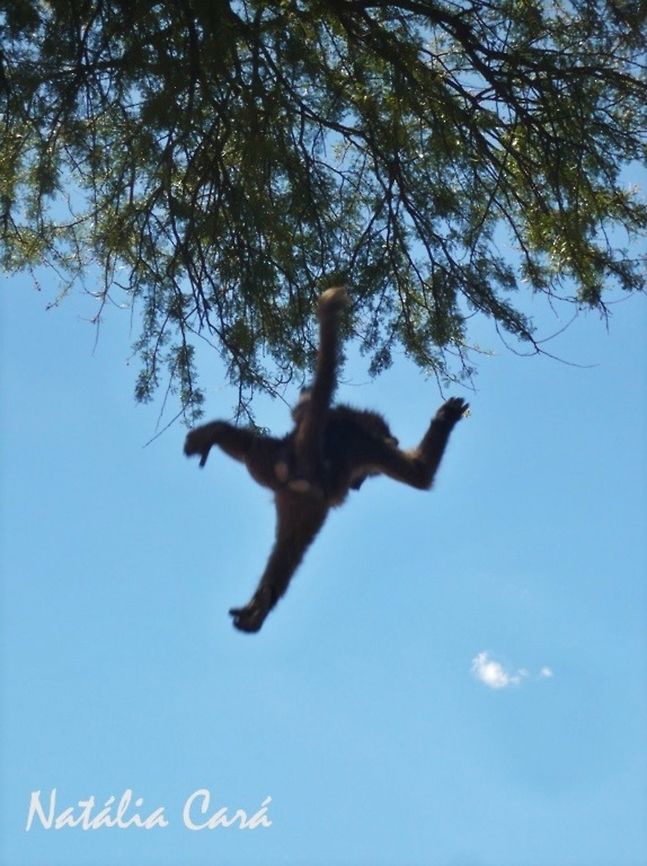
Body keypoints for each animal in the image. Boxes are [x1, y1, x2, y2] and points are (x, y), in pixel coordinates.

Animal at [184, 288, 469, 633]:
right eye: (365, 475)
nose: (358, 485)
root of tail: (304, 459)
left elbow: (307, 402)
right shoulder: (371, 447)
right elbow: (420, 475)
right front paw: (445, 417)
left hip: (270, 466)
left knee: (282, 529)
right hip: (313, 498)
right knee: (296, 542)